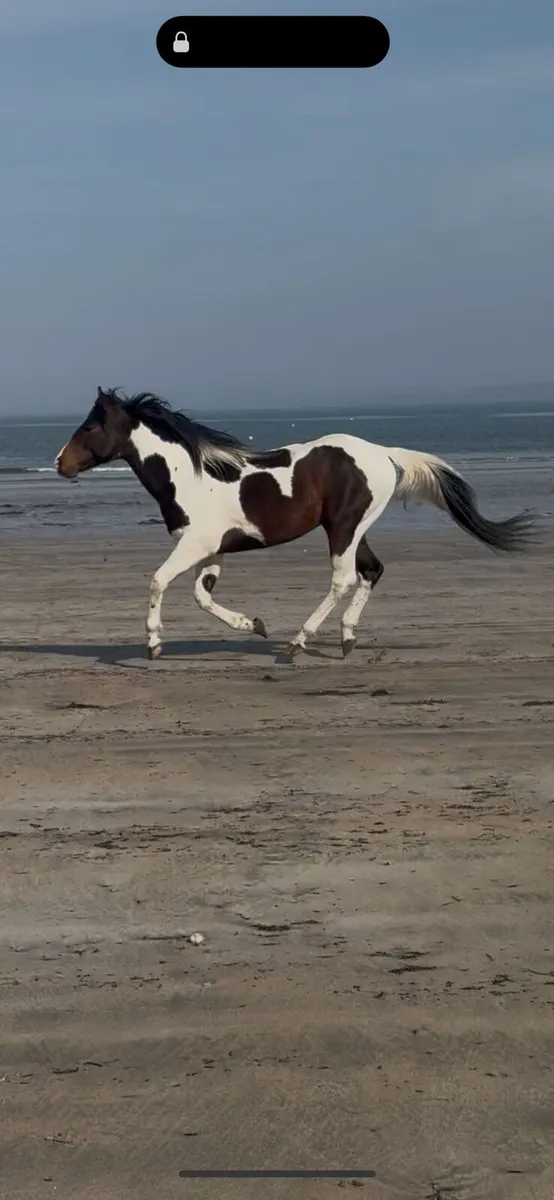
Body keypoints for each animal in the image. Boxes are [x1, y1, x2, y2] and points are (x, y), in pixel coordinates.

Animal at [55, 388, 535, 661]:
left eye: (89, 426)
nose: (60, 463)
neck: (188, 476)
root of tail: (384, 453)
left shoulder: (195, 545)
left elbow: (158, 581)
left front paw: (154, 643)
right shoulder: (212, 552)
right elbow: (201, 596)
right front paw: (254, 624)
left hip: (342, 527)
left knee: (343, 579)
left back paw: (298, 643)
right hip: (355, 528)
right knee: (371, 571)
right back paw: (345, 639)